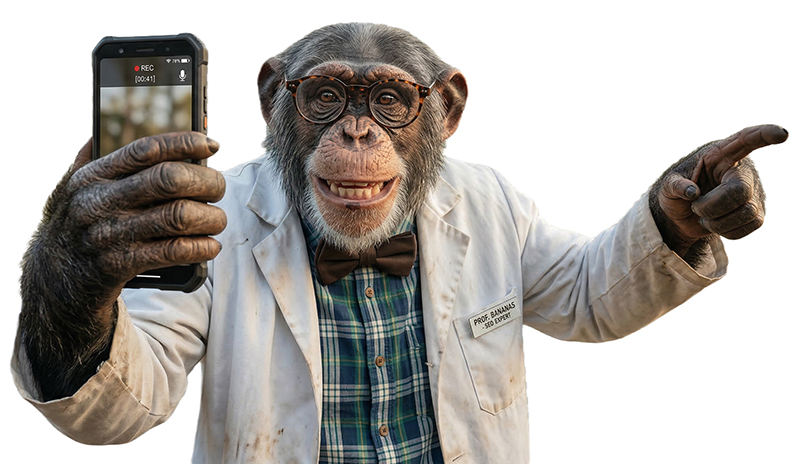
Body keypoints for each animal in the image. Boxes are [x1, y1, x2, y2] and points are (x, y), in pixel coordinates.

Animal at [13, 23, 787, 462]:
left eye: (388, 100)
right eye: (326, 95)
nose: (357, 130)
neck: (361, 256)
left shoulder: (514, 212)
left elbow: (587, 288)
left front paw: (702, 186)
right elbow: (134, 384)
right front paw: (88, 246)